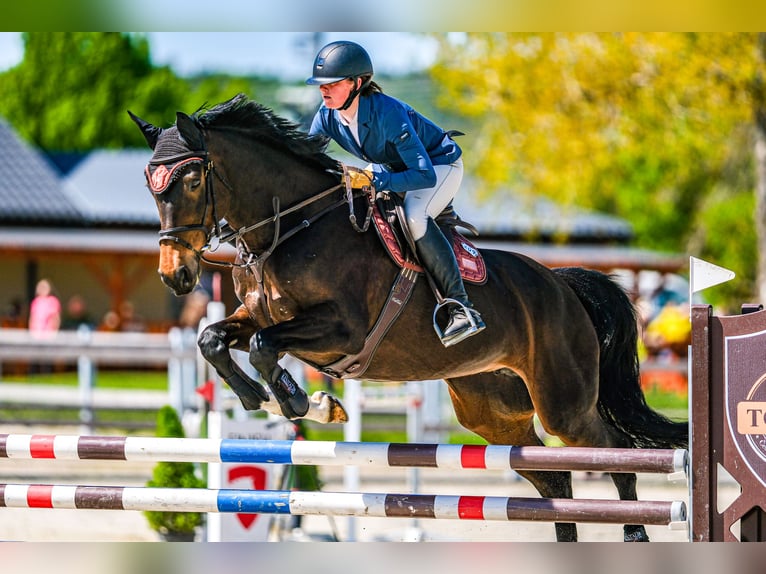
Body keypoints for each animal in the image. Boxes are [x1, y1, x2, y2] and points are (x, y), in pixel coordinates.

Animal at [129, 93, 688, 542]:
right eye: (151, 186)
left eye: (193, 180)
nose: (176, 275)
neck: (290, 227)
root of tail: (562, 285)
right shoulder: (255, 316)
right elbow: (212, 339)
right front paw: (275, 401)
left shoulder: (340, 329)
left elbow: (266, 348)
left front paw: (300, 401)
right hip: (492, 408)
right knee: (553, 477)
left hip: (563, 402)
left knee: (613, 451)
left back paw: (636, 534)